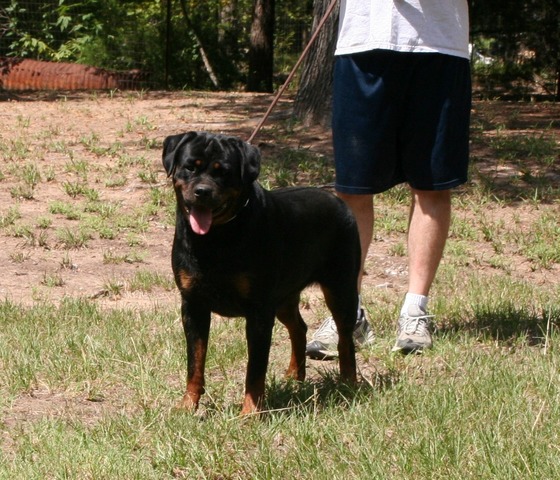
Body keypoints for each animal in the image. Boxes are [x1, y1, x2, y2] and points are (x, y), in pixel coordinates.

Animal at [164, 132, 360, 416]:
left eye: (223, 172)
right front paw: (188, 404)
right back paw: (295, 375)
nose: (202, 191)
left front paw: (250, 412)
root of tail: (338, 201)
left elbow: (255, 370)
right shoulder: (193, 304)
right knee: (299, 327)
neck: (216, 239)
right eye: (190, 166)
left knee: (345, 337)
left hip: (340, 287)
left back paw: (349, 382)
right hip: (284, 297)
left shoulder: (259, 311)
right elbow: (195, 361)